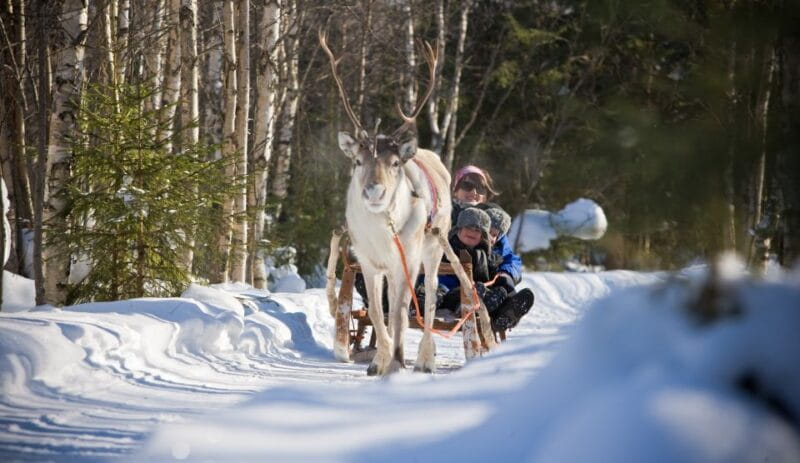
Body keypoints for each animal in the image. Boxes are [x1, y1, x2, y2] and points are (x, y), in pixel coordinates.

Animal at [320, 30, 454, 375]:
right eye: (357, 161)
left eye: (394, 163)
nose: (374, 191)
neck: (381, 235)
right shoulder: (369, 262)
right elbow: (378, 314)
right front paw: (378, 362)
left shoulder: (405, 259)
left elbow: (401, 312)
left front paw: (396, 362)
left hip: (433, 250)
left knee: (429, 299)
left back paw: (424, 359)